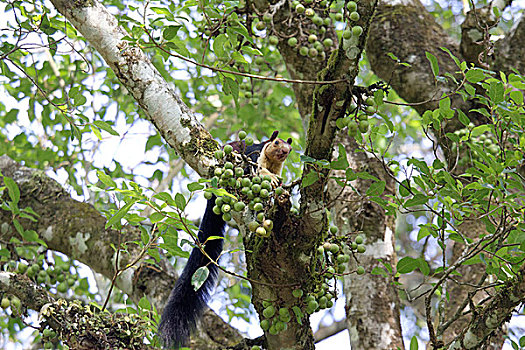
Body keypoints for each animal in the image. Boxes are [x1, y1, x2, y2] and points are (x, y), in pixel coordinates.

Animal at [158, 131, 292, 348]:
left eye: (288, 150)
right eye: (276, 143)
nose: (283, 152)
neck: (271, 161)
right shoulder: (254, 156)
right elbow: (256, 170)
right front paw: (270, 178)